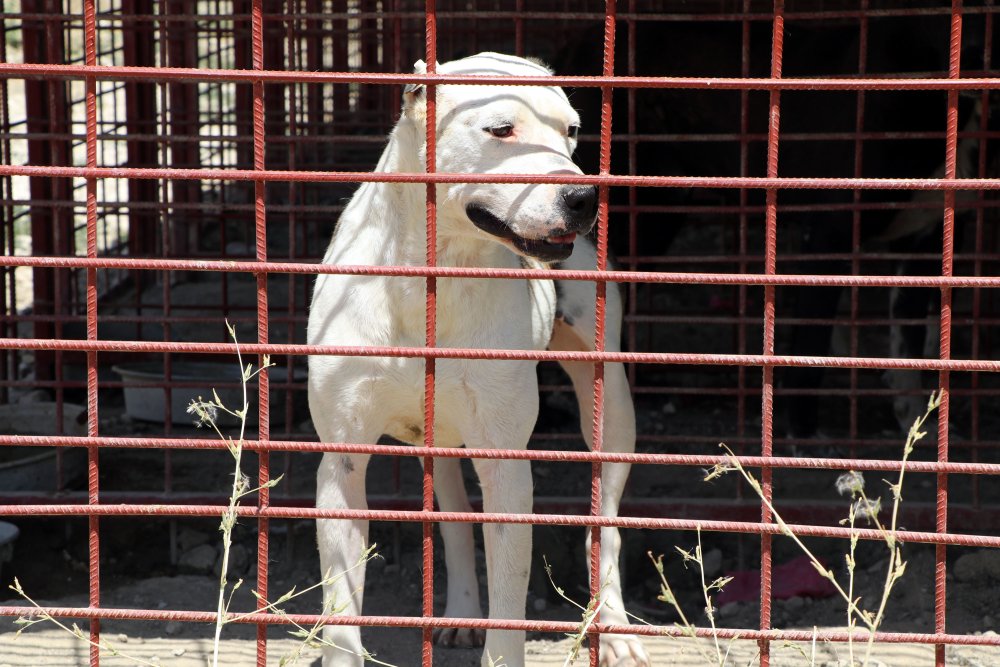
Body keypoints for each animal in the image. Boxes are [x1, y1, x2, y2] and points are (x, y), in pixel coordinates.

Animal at [306, 52, 648, 667]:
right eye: (501, 129)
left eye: (572, 131)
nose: (583, 198)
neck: (433, 278)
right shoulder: (342, 461)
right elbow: (342, 606)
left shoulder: (507, 463)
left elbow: (509, 600)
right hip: (438, 436)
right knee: (455, 520)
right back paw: (463, 611)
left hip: (609, 406)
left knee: (604, 524)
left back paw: (612, 627)